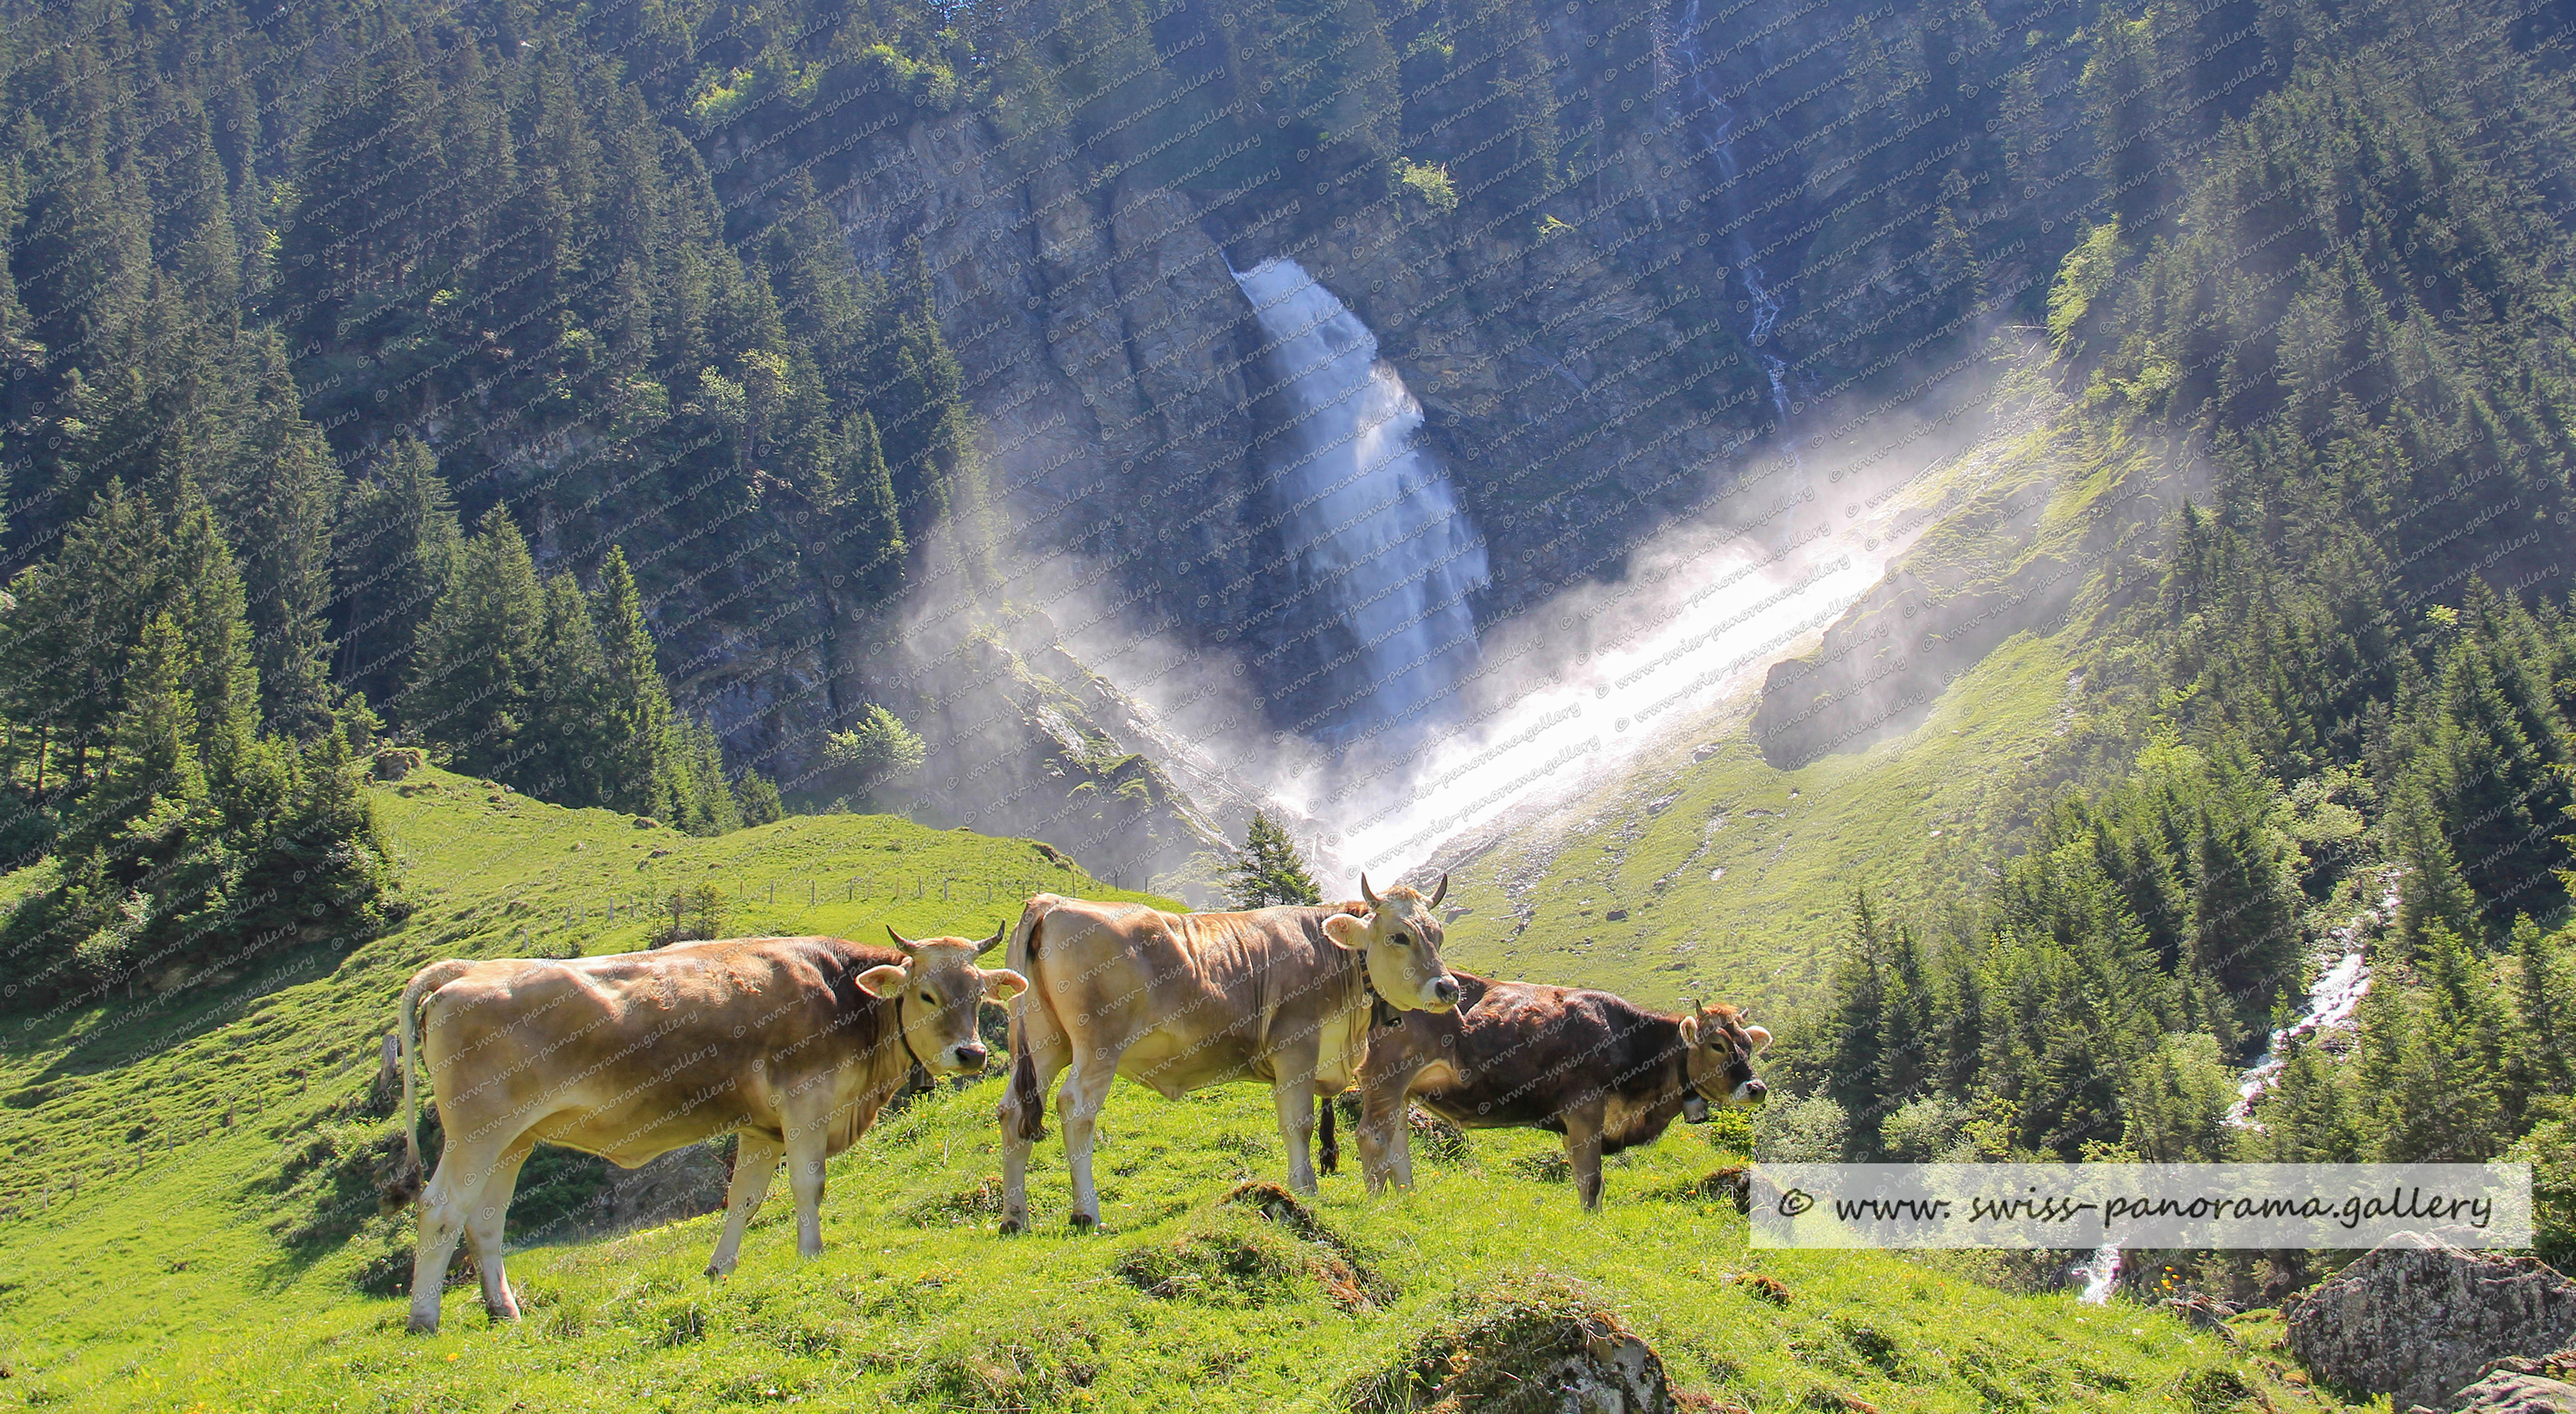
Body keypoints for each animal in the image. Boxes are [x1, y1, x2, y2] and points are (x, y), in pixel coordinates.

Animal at [391, 922, 1015, 1329]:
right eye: (926, 994)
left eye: (980, 996)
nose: (972, 1054)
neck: (845, 998)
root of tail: (469, 971)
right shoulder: (806, 1103)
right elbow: (807, 1184)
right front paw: (811, 1255)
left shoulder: (760, 1127)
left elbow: (745, 1198)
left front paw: (720, 1269)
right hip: (477, 1131)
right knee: (441, 1209)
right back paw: (423, 1318)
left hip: (512, 1140)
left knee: (486, 1220)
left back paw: (504, 1310)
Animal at [994, 870, 1462, 1226]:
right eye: (1399, 936)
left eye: (1438, 935)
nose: (1448, 987)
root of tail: (1050, 902)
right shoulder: (1295, 1047)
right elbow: (1299, 1124)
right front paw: (1305, 1190)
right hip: (1099, 1045)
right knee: (1076, 1107)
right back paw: (1087, 1213)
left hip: (1044, 1043)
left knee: (1014, 1111)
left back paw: (1015, 1218)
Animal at [1360, 973, 1762, 1205]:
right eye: (1718, 1045)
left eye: (1749, 1045)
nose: (1756, 1088)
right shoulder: (1585, 1111)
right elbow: (1592, 1182)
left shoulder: (1575, 1126)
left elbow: (1586, 1180)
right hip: (1387, 1073)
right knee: (1372, 1137)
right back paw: (1377, 1203)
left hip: (1401, 1089)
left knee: (1397, 1143)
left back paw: (1407, 1200)